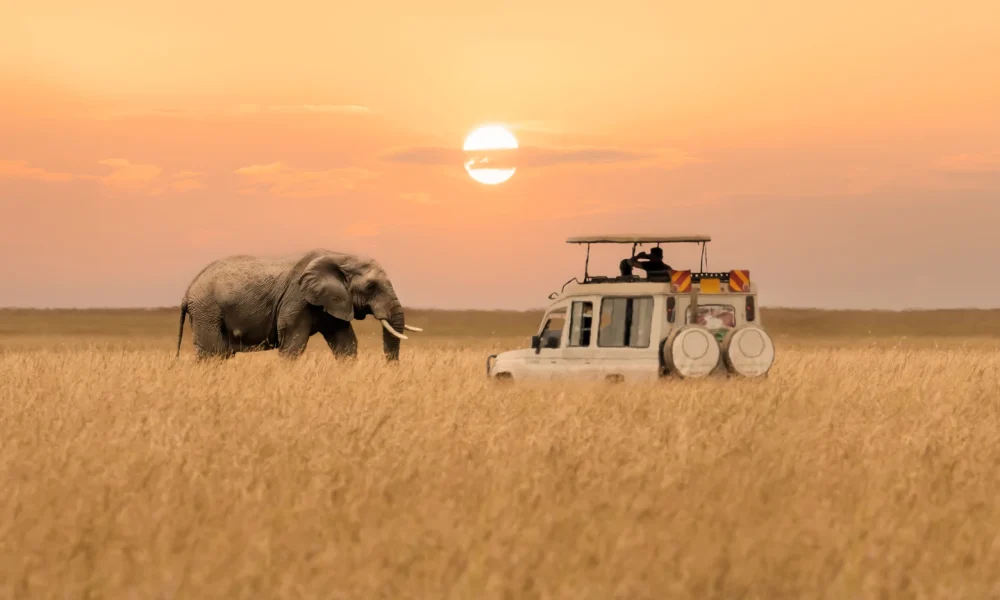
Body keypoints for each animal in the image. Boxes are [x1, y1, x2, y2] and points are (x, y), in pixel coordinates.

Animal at [175, 249, 423, 361]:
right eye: (371, 286)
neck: (340, 257)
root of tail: (187, 290)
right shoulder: (296, 300)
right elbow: (293, 345)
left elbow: (346, 344)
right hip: (207, 310)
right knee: (212, 353)